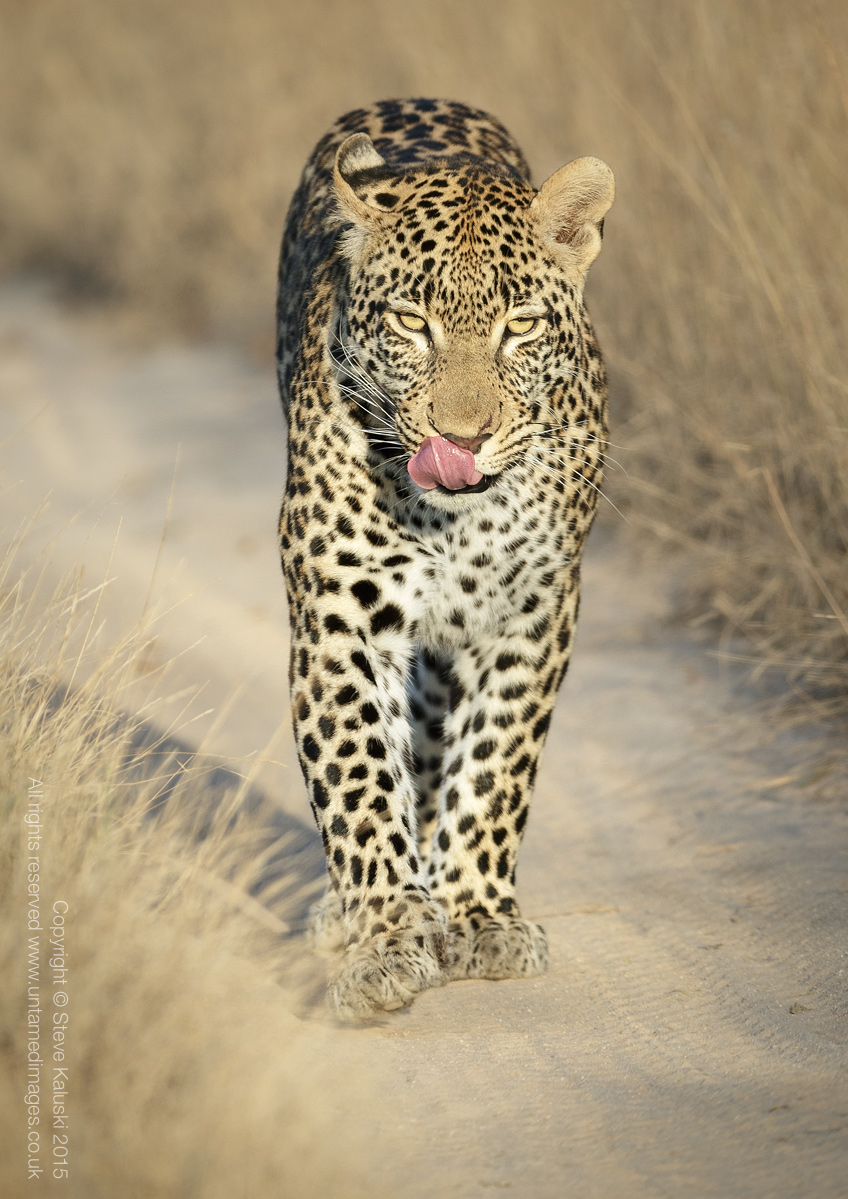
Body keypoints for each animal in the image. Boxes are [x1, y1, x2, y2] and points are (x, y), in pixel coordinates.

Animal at [275, 98, 614, 1021]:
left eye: (520, 326)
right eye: (410, 324)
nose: (461, 439)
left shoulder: (534, 612)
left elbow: (496, 764)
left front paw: (477, 913)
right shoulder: (338, 617)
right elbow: (358, 779)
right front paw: (387, 935)